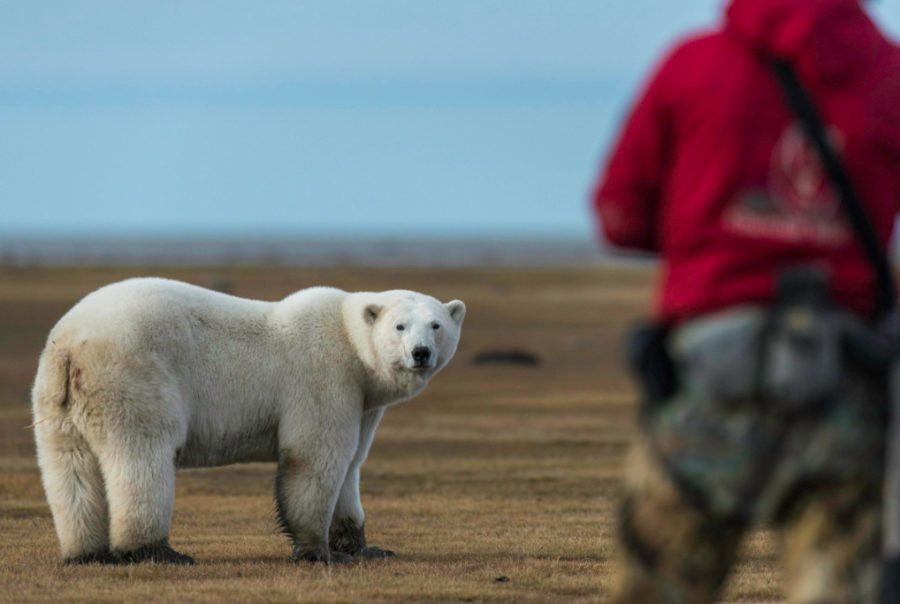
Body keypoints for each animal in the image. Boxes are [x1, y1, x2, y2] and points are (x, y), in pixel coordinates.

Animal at [29, 278, 464, 568]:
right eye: (400, 326)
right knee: (143, 457)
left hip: (58, 399)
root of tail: (70, 342)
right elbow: (315, 457)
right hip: (133, 376)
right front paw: (319, 553)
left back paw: (85, 554)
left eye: (437, 325)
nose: (421, 353)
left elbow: (351, 463)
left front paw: (366, 548)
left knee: (69, 466)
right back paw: (158, 552)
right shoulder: (322, 375)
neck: (350, 343)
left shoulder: (362, 402)